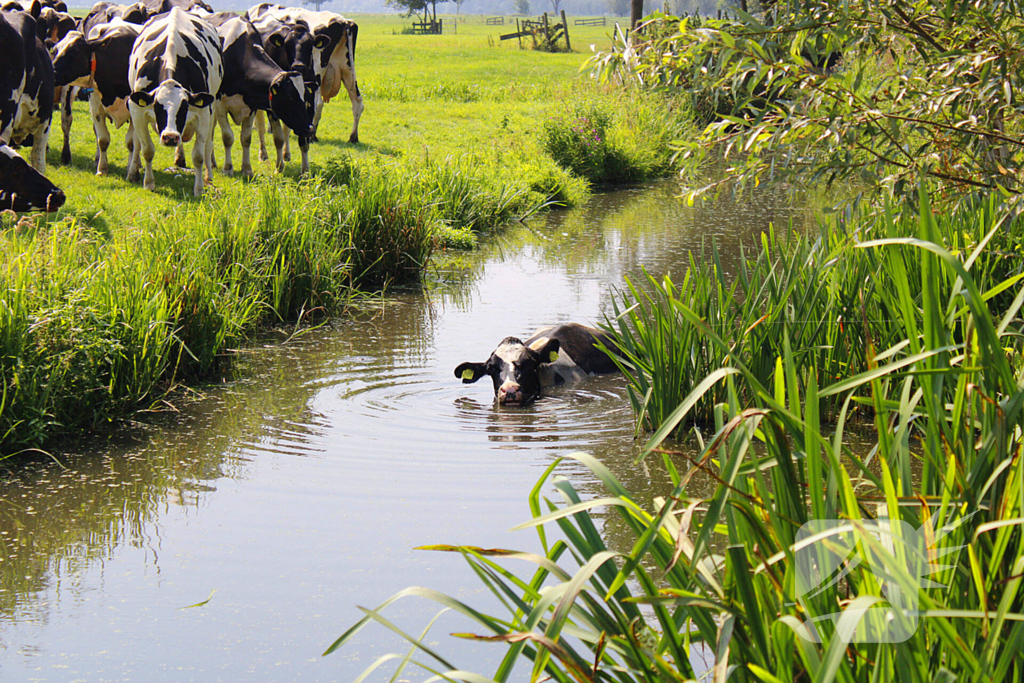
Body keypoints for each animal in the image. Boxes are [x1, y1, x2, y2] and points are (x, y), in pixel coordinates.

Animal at [51, 18, 140, 175]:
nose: (51, 71)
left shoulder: (133, 110)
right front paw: (102, 169)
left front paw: (131, 169)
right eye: (55, 50)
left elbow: (131, 143)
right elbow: (102, 139)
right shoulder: (96, 107)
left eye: (73, 51)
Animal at [126, 7, 223, 196]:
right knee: (136, 142)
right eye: (157, 107)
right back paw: (133, 172)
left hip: (213, 106)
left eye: (184, 107)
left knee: (208, 144)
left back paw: (208, 177)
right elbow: (146, 149)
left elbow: (198, 155)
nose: (170, 137)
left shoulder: (203, 112)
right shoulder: (137, 110)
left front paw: (198, 189)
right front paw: (148, 183)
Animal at [208, 15, 311, 177]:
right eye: (290, 98)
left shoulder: (251, 105)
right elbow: (227, 137)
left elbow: (246, 138)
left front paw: (247, 169)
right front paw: (228, 168)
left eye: (305, 97)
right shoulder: (220, 105)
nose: (309, 128)